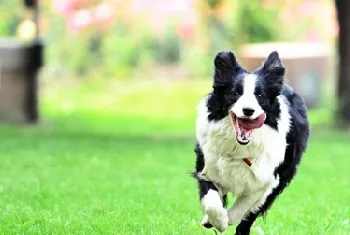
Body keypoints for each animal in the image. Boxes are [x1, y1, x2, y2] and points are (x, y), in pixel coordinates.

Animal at [193, 50, 310, 234]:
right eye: (235, 93)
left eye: (259, 95)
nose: (248, 110)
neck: (238, 147)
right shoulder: (207, 166)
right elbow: (212, 201)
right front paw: (217, 220)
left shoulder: (268, 179)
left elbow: (244, 206)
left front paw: (226, 219)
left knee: (249, 216)